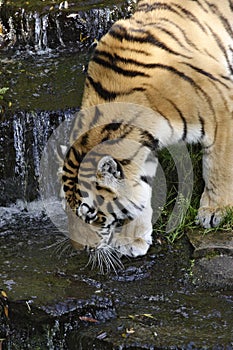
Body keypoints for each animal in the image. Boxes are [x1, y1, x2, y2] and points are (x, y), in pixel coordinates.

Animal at [61, 0, 232, 270]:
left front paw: (214, 212)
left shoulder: (221, 110)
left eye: (92, 215)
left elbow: (217, 168)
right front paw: (132, 241)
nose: (80, 249)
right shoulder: (143, 147)